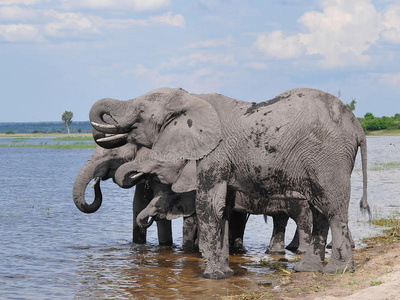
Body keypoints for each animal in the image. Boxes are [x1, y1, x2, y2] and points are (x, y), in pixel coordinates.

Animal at [88, 86, 368, 278]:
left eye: (141, 113)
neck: (191, 97)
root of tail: (358, 127)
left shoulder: (215, 153)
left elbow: (208, 205)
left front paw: (210, 276)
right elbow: (223, 208)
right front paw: (225, 273)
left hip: (328, 156)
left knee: (331, 207)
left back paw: (338, 271)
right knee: (319, 209)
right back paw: (307, 269)